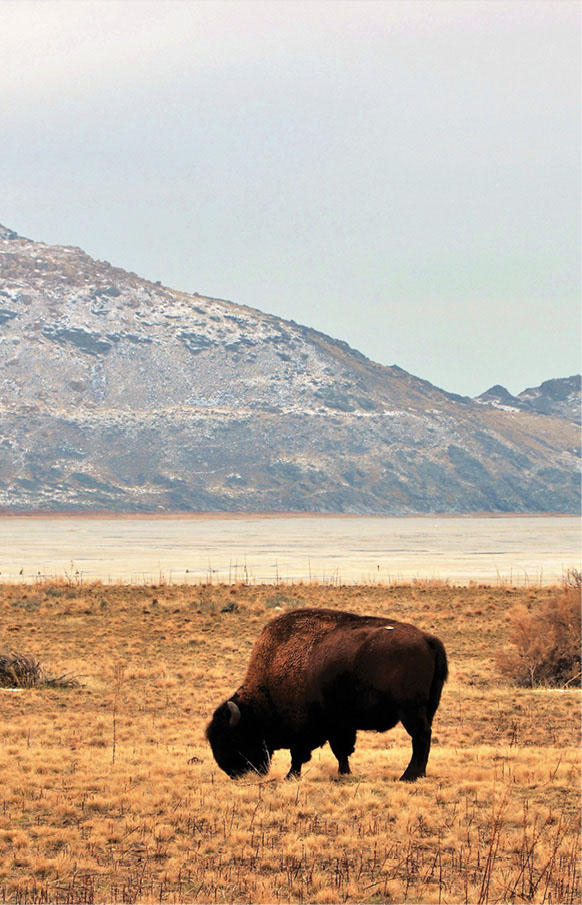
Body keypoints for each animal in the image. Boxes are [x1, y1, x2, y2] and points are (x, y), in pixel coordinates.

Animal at [208, 612, 450, 780]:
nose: (232, 772)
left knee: (420, 737)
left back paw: (408, 776)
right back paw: (417, 774)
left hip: (410, 710)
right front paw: (344, 773)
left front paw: (290, 775)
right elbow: (341, 751)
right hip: (427, 707)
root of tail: (427, 639)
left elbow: (300, 755)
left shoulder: (304, 728)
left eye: (233, 737)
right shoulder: (340, 725)